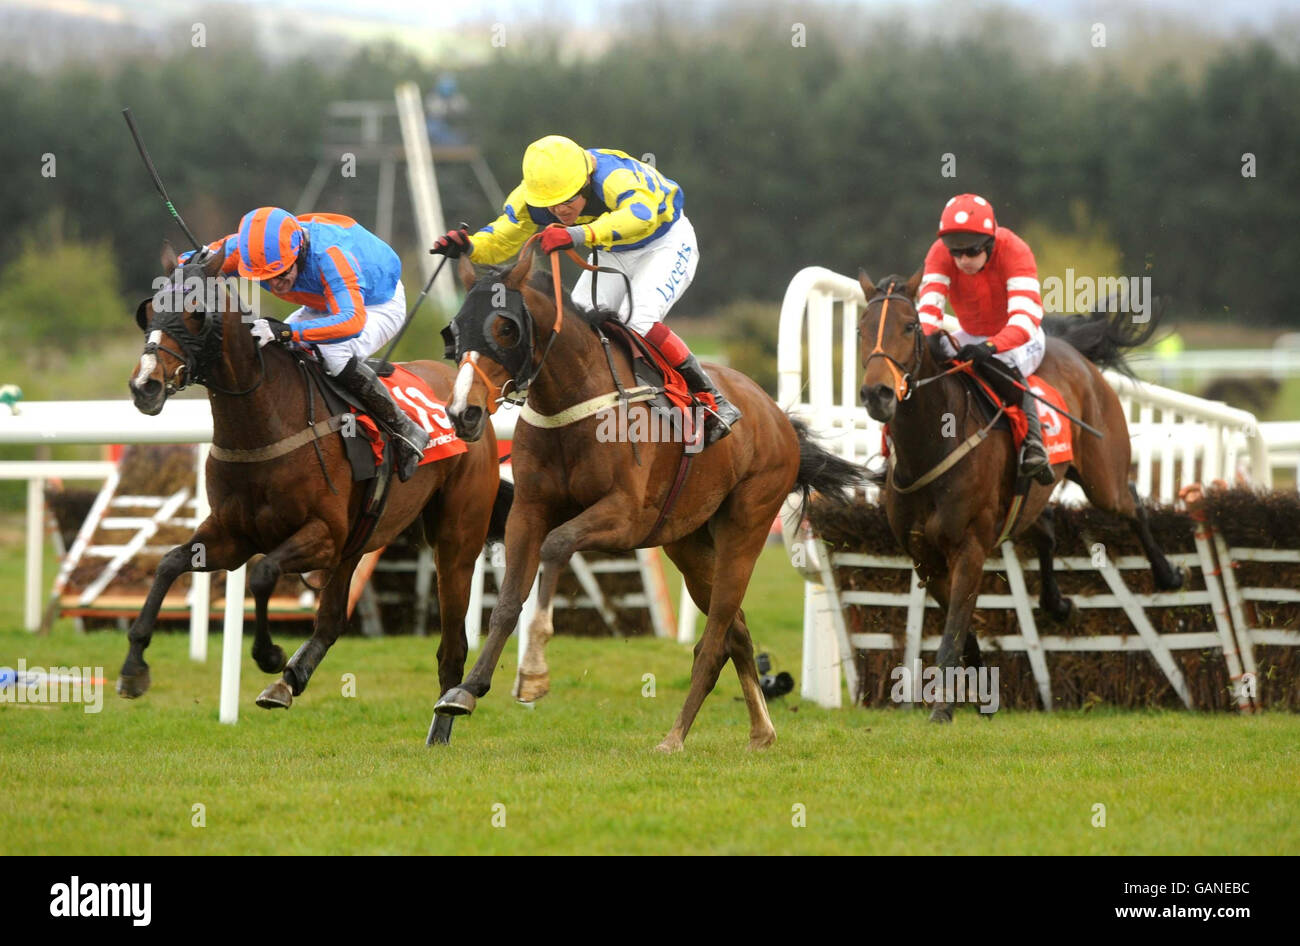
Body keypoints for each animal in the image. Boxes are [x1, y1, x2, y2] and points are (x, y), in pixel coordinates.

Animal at [120, 240, 506, 743]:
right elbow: (168, 564)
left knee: (452, 641)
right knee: (332, 620)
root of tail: (469, 399)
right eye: (148, 311)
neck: (264, 422)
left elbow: (264, 572)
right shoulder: (231, 535)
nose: (144, 386)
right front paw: (133, 667)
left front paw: (268, 654)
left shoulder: (321, 534)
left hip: (455, 538)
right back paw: (290, 680)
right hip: (357, 541)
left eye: (194, 313)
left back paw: (443, 721)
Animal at [431, 250, 868, 753]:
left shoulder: (627, 517)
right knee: (736, 632)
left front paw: (534, 674)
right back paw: (760, 731)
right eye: (453, 331)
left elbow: (557, 545)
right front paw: (465, 691)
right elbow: (507, 602)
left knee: (715, 638)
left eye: (505, 328)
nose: (463, 413)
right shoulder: (529, 510)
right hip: (689, 545)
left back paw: (675, 736)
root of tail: (777, 417)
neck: (574, 401)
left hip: (747, 528)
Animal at [857, 270, 1185, 722]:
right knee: (1045, 525)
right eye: (860, 329)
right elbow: (962, 633)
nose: (878, 394)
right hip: (1030, 498)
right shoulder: (924, 557)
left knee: (1132, 501)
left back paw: (1168, 574)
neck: (931, 447)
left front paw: (942, 709)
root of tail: (1072, 350)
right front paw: (979, 692)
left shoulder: (969, 548)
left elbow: (953, 633)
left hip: (1102, 478)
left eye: (909, 326)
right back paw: (1057, 604)